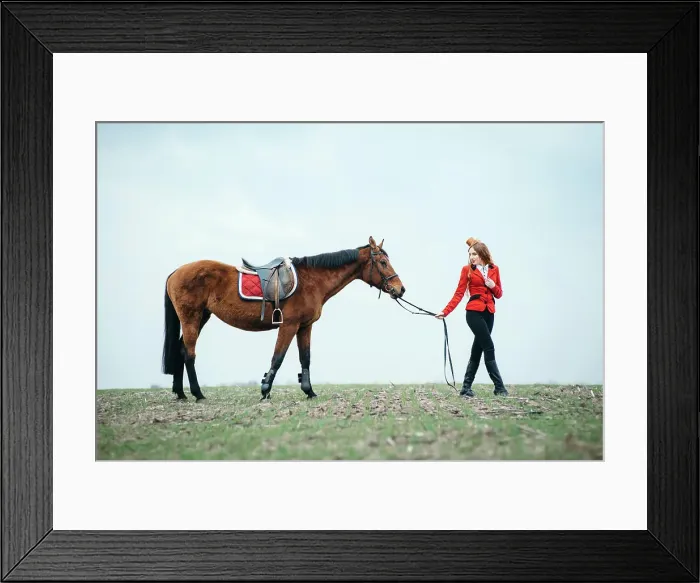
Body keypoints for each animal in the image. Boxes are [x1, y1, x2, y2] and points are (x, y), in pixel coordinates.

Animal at [161, 236, 405, 401]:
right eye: (383, 263)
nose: (400, 289)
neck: (310, 280)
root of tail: (176, 272)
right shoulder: (288, 325)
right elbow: (277, 358)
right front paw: (265, 391)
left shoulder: (304, 327)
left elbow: (305, 359)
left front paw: (309, 391)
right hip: (192, 317)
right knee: (189, 353)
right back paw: (197, 393)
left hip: (201, 317)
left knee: (181, 350)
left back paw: (181, 393)